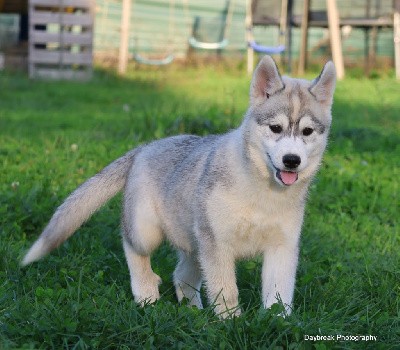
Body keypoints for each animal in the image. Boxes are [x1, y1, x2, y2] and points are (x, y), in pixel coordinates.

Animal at [21, 56, 334, 318]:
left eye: (307, 131)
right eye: (276, 128)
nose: (292, 161)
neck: (262, 191)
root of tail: (145, 147)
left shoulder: (282, 246)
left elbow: (279, 296)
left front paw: (277, 324)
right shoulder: (217, 244)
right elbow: (226, 291)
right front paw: (231, 324)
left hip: (194, 243)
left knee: (182, 275)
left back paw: (191, 310)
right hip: (148, 231)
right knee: (132, 246)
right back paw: (146, 292)